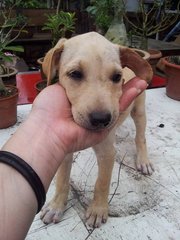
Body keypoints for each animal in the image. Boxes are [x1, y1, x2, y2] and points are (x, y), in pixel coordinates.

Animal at [39, 32, 153, 229]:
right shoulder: (64, 152)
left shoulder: (107, 153)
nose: (102, 120)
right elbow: (62, 180)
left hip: (138, 110)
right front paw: (56, 206)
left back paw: (143, 160)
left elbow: (102, 182)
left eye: (117, 77)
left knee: (140, 137)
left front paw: (98, 210)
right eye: (75, 74)